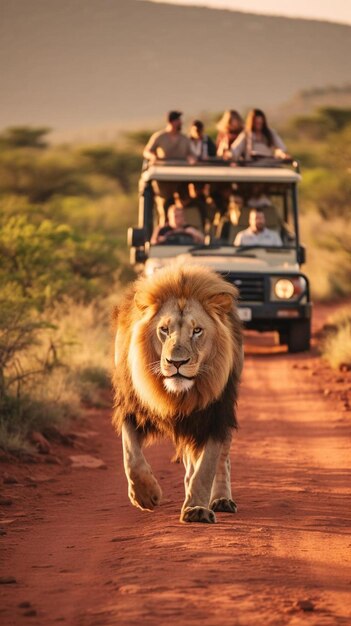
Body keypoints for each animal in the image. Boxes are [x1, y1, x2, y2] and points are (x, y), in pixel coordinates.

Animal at [111, 264, 243, 520]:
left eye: (197, 331)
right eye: (164, 329)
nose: (177, 362)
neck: (177, 396)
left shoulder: (215, 415)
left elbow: (207, 466)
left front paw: (196, 509)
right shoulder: (132, 407)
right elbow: (131, 456)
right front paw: (145, 495)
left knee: (222, 461)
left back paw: (221, 499)